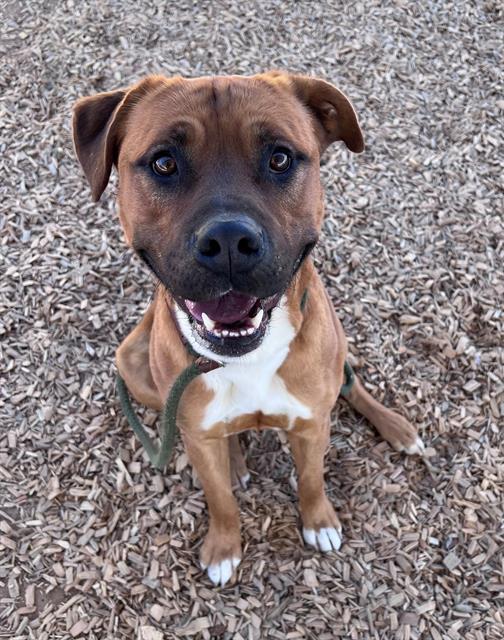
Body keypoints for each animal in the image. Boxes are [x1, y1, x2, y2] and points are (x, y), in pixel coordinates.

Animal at [73, 72, 424, 588]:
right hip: (132, 364)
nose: (228, 241)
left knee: (352, 385)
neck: (248, 357)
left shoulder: (312, 424)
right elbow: (219, 498)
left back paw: (397, 427)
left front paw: (319, 521)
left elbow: (312, 477)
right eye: (163, 162)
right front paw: (224, 546)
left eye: (279, 158)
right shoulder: (197, 437)